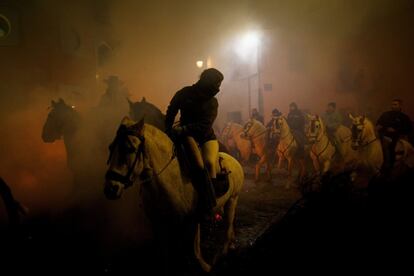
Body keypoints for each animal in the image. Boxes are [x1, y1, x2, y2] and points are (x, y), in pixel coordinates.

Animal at [105, 117, 244, 274]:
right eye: (110, 147)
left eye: (130, 149)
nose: (110, 188)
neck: (169, 180)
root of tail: (234, 160)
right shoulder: (159, 223)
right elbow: (165, 253)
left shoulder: (189, 221)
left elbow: (192, 250)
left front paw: (204, 266)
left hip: (232, 200)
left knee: (227, 228)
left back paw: (221, 255)